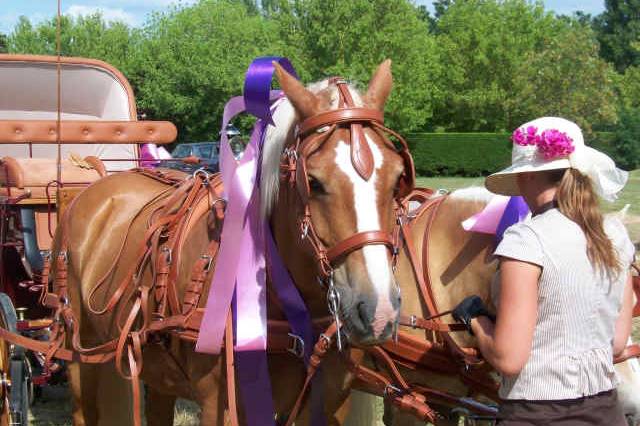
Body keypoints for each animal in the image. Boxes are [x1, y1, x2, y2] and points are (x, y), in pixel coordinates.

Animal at [50, 60, 412, 426]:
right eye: (313, 181)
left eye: (398, 177)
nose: (378, 310)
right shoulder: (218, 403)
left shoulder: (329, 403)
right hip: (81, 352)